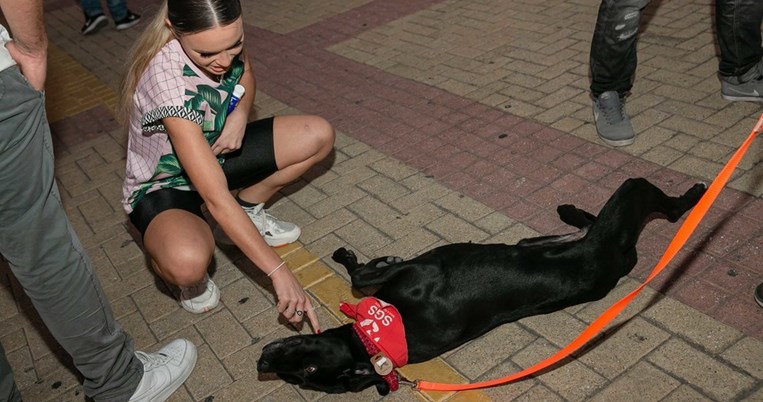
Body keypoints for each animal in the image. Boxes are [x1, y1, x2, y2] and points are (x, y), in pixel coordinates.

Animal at [260, 177, 708, 394]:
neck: (371, 339)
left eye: (306, 369)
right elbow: (359, 276)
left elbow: (360, 275)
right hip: (617, 214)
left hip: (561, 232)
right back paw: (692, 196)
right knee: (659, 211)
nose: (263, 364)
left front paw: (360, 259)